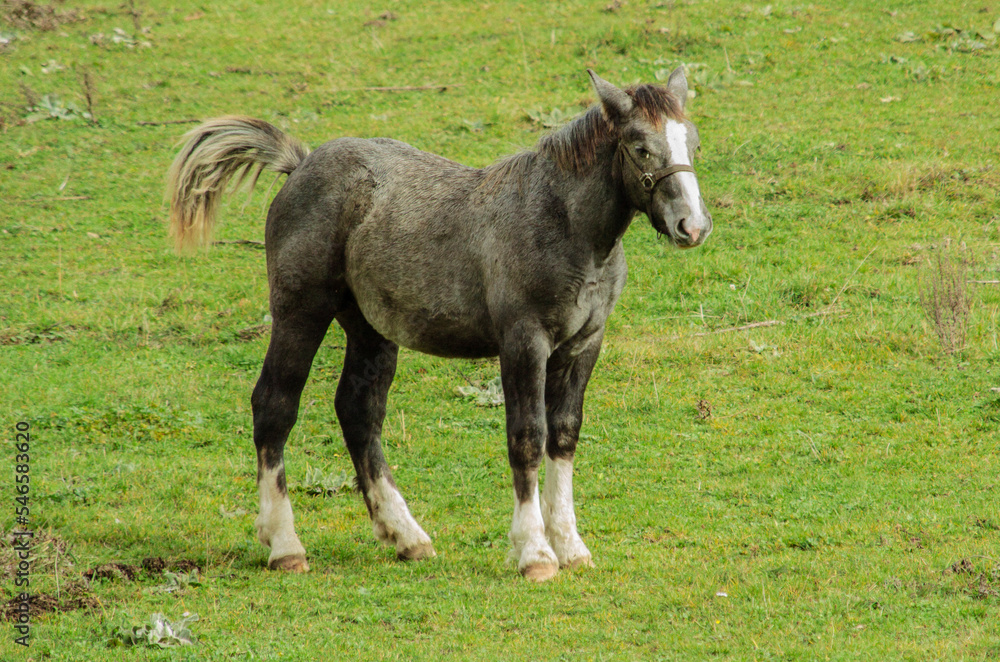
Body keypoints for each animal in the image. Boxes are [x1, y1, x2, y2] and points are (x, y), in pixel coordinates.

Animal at [166, 69, 712, 582]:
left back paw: (406, 536)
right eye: (640, 148)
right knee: (274, 405)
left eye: (694, 142)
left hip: (371, 328)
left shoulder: (583, 345)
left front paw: (572, 548)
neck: (565, 226)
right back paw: (285, 545)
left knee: (359, 411)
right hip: (301, 312)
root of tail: (300, 164)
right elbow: (527, 437)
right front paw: (535, 554)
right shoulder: (524, 342)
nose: (693, 227)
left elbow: (563, 436)